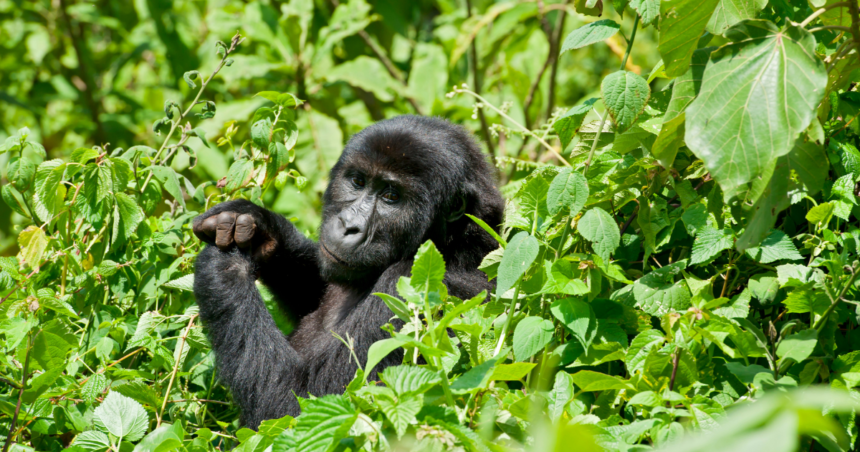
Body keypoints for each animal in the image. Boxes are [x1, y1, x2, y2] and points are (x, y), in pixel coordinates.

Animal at [193, 115, 504, 430]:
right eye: (358, 181)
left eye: (391, 196)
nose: (348, 225)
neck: (455, 246)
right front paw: (261, 229)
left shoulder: (414, 289)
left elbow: (302, 408)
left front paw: (225, 267)